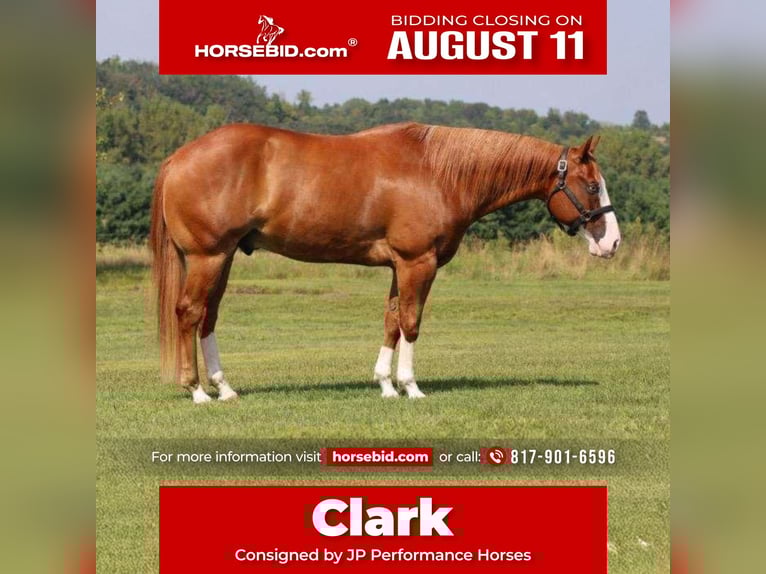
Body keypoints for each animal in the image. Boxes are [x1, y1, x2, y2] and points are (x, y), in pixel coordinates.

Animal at [149, 123, 621, 404]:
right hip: (208, 257)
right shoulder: (418, 263)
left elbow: (392, 320)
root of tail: (177, 157)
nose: (612, 243)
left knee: (208, 317)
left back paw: (225, 388)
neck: (439, 173)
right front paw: (411, 388)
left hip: (224, 257)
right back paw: (197, 391)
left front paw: (385, 385)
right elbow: (411, 322)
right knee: (189, 313)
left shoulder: (400, 266)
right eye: (592, 186)